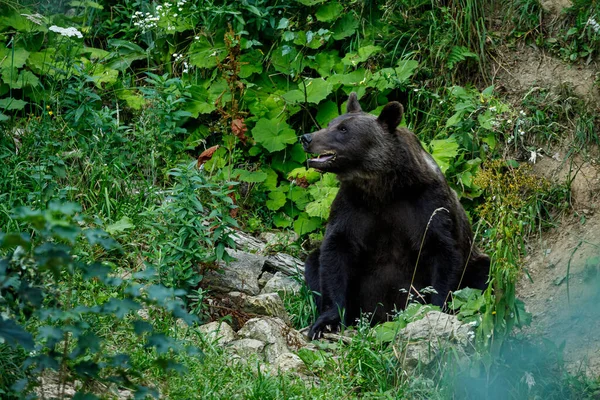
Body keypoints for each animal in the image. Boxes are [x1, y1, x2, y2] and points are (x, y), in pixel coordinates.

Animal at [302, 92, 490, 340]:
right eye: (331, 123)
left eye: (343, 129)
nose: (306, 137)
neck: (383, 187)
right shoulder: (352, 207)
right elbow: (336, 252)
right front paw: (327, 322)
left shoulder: (428, 205)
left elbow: (443, 252)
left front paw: (437, 309)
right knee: (313, 262)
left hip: (475, 262)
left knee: (484, 272)